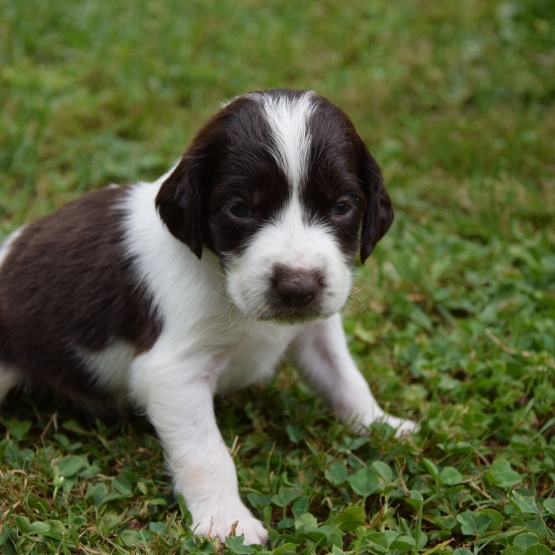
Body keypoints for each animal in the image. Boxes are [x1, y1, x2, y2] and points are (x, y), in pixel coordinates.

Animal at [0, 89, 416, 544]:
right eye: (240, 209)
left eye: (342, 207)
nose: (298, 287)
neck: (225, 283)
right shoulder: (173, 373)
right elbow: (207, 453)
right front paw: (225, 522)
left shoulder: (316, 332)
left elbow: (345, 378)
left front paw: (382, 424)